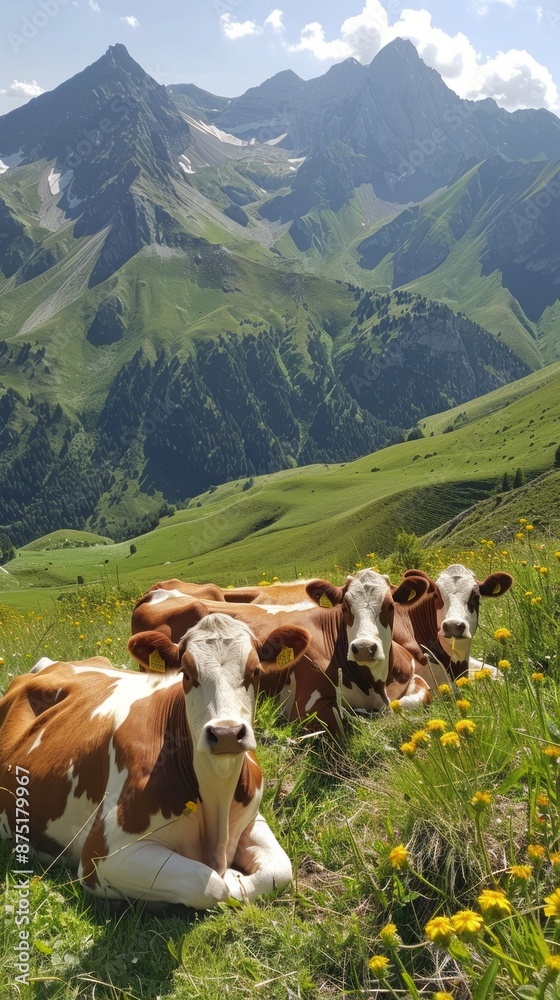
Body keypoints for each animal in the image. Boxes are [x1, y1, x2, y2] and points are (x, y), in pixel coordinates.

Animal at [0, 611, 310, 909]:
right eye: (186, 674)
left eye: (255, 671)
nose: (226, 733)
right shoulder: (103, 855)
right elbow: (210, 885)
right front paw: (228, 878)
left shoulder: (252, 817)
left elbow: (279, 870)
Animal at [130, 569, 432, 734]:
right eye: (345, 608)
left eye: (390, 606)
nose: (364, 648)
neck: (373, 683)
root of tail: (153, 593)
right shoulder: (305, 707)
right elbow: (345, 718)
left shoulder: (411, 676)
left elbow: (417, 697)